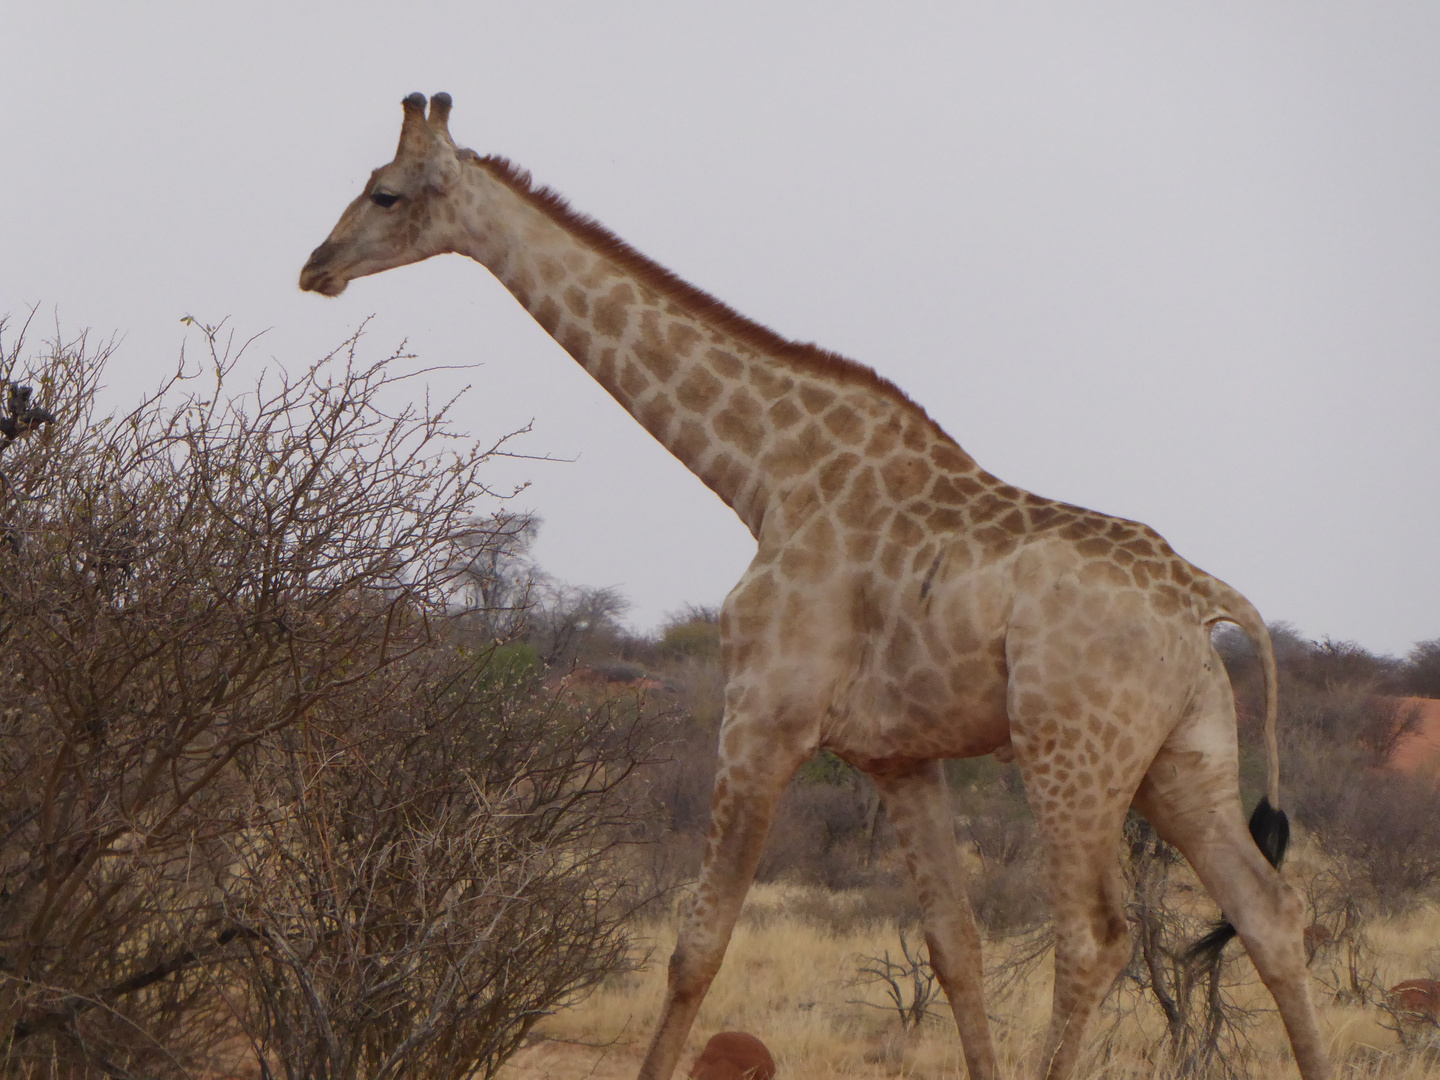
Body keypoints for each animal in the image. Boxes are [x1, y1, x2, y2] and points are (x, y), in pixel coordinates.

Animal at [298, 92, 1330, 1080]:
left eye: (385, 192)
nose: (316, 266)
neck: (763, 473)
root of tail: (1202, 596)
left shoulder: (763, 715)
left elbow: (696, 949)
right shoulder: (900, 756)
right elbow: (955, 949)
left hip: (1071, 754)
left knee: (1096, 939)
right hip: (1182, 759)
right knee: (1272, 914)